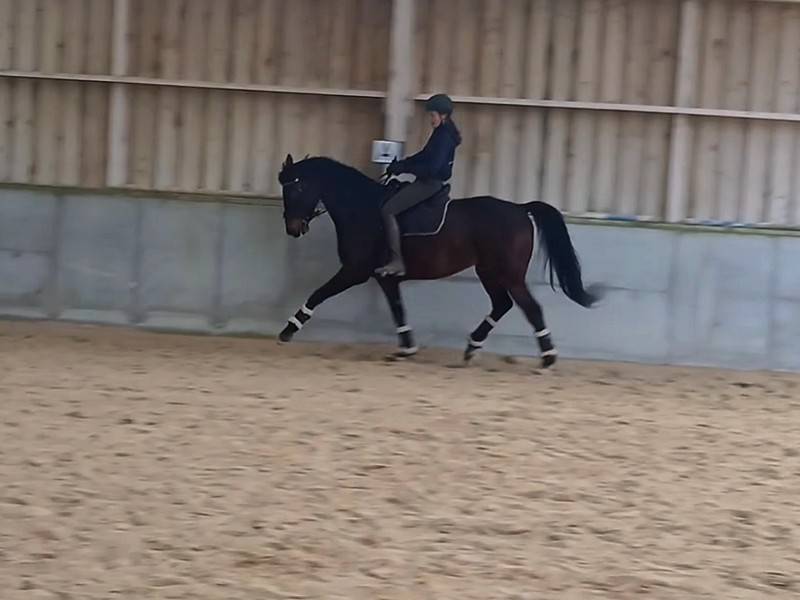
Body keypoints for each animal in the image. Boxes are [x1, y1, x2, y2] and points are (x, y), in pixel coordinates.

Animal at [276, 154, 601, 368]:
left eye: (297, 187)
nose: (292, 228)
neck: (361, 208)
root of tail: (521, 209)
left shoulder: (355, 271)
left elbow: (318, 294)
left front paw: (288, 329)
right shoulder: (384, 277)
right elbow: (398, 310)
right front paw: (406, 348)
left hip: (509, 273)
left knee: (530, 308)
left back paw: (547, 357)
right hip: (488, 271)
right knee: (502, 305)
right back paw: (472, 347)